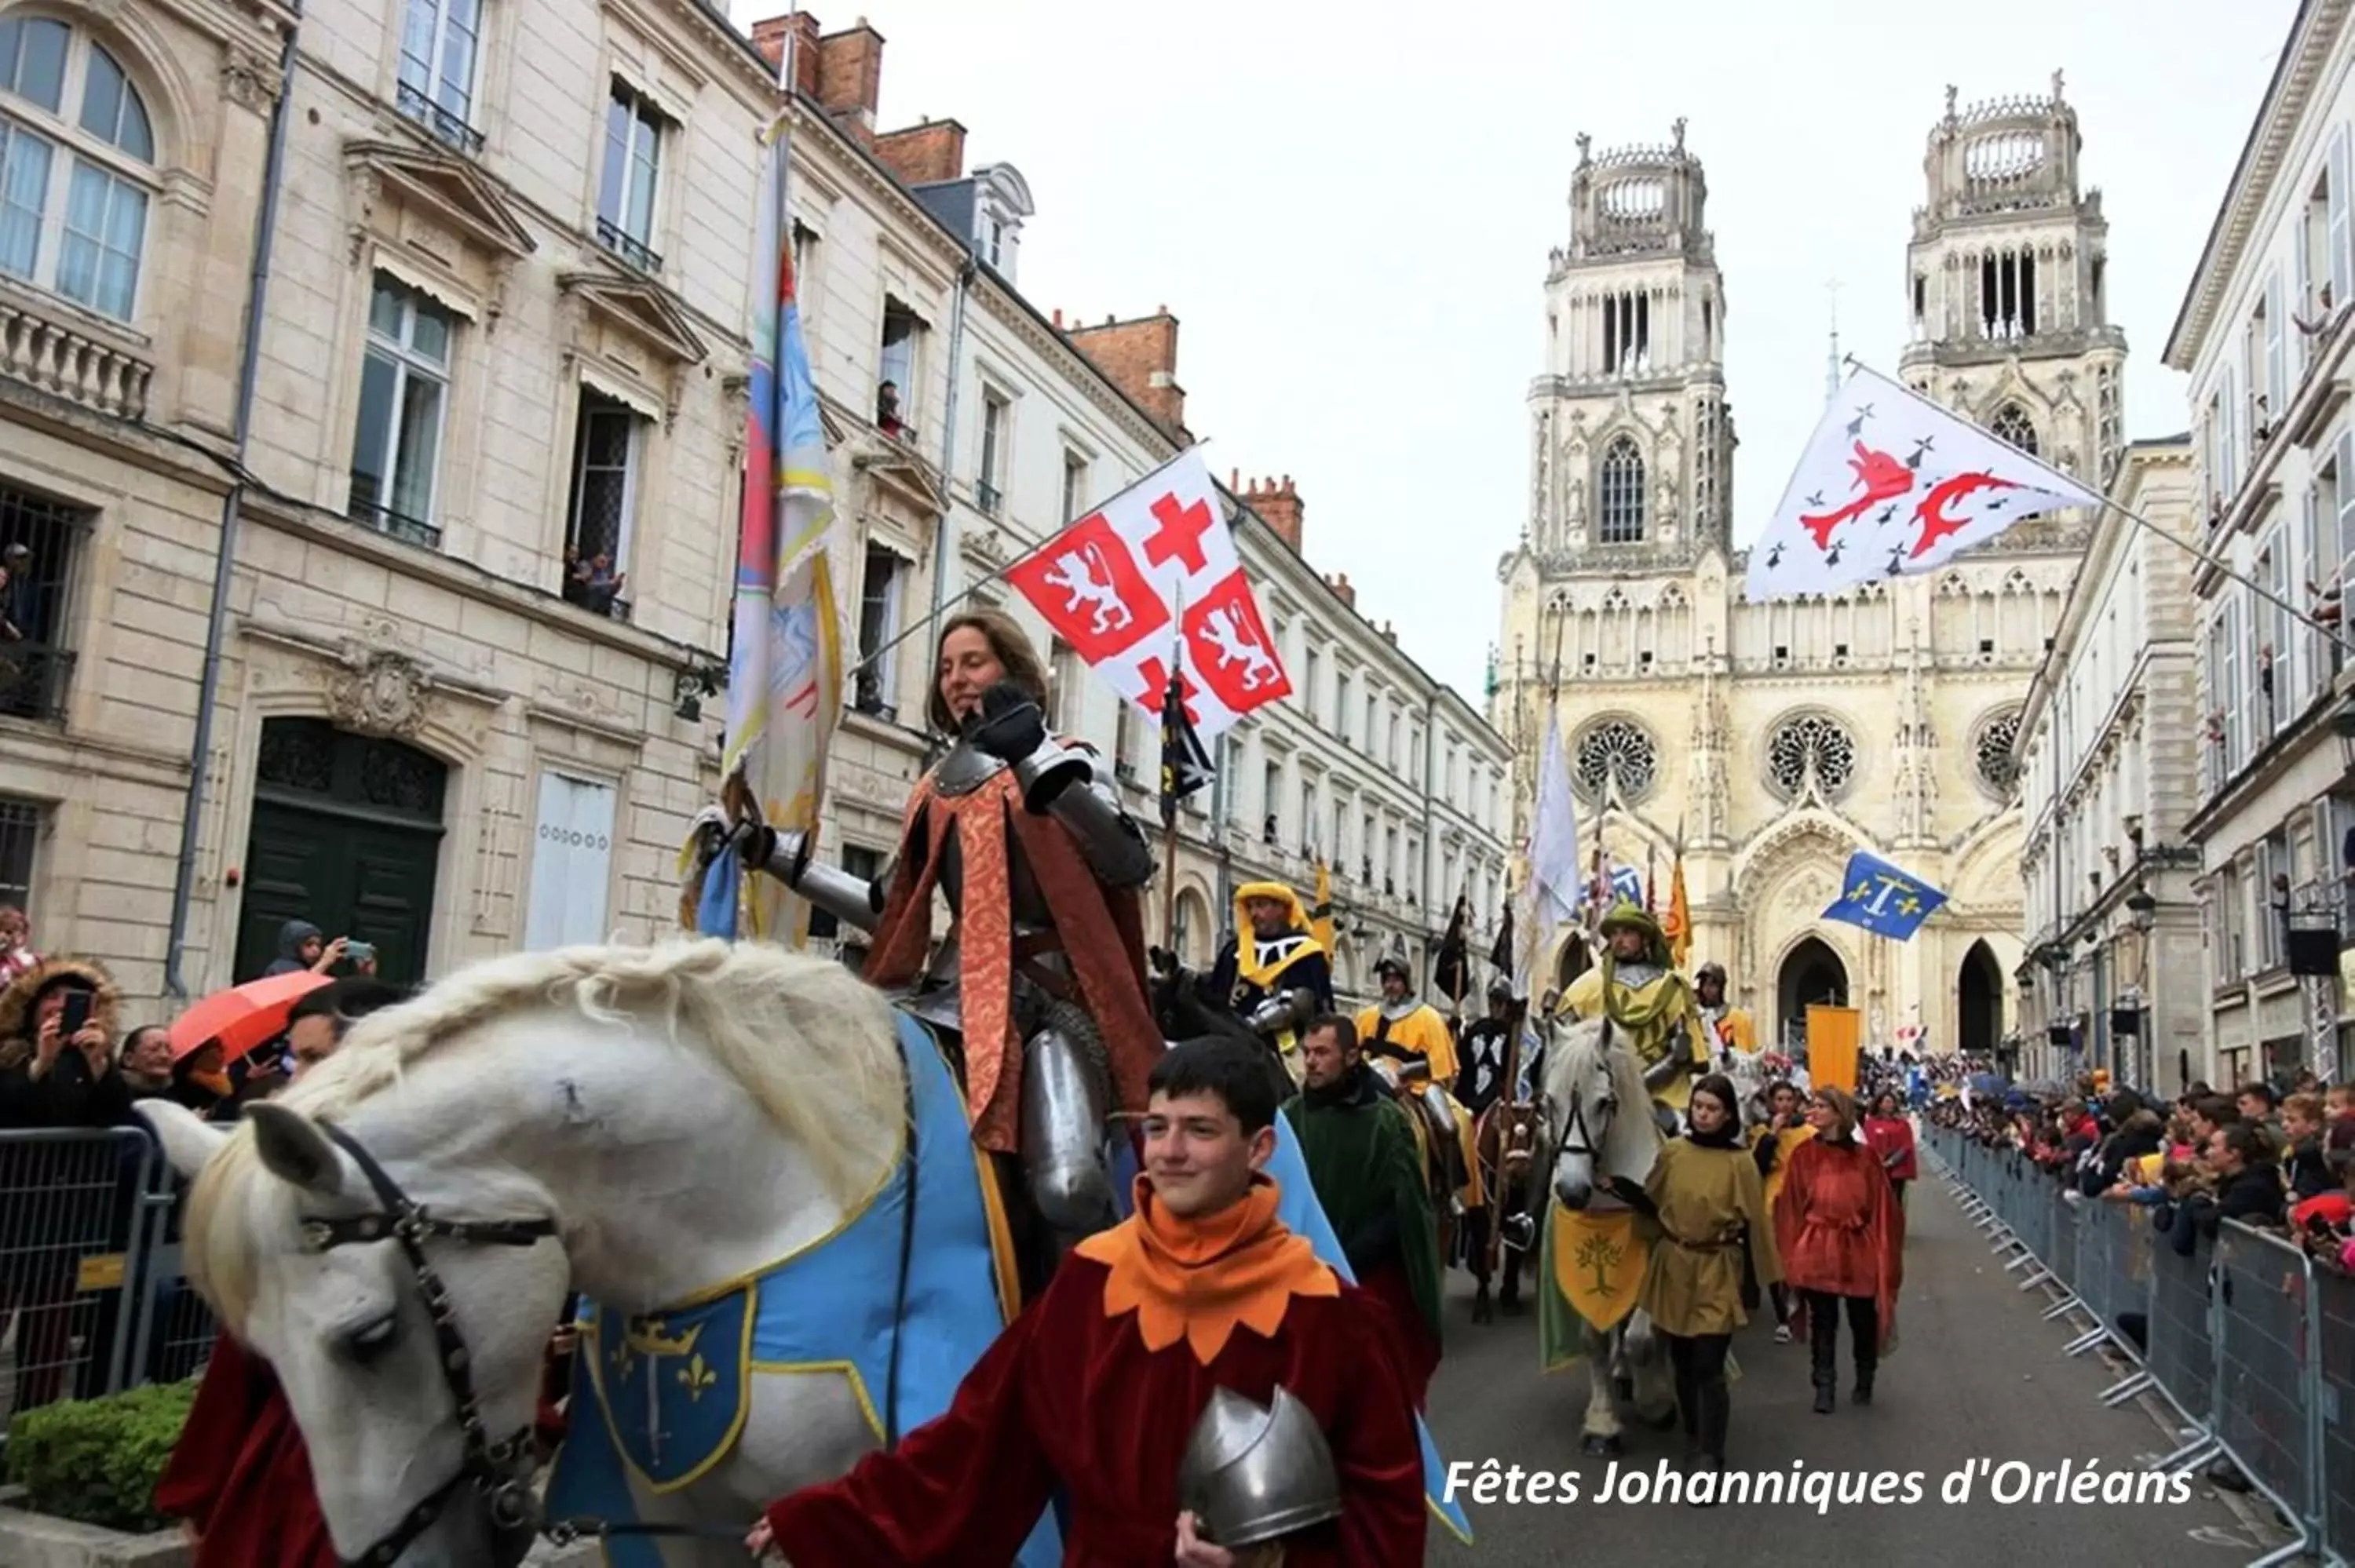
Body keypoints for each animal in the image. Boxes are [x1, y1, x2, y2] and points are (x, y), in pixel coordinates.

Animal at [1545, 1012, 1677, 1450]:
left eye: (1605, 1102)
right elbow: (1595, 1341)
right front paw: (1601, 1424)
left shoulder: (1655, 1263)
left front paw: (1657, 1402)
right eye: (1549, 1102)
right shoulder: (1583, 1266)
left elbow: (1643, 1340)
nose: (1572, 1191)